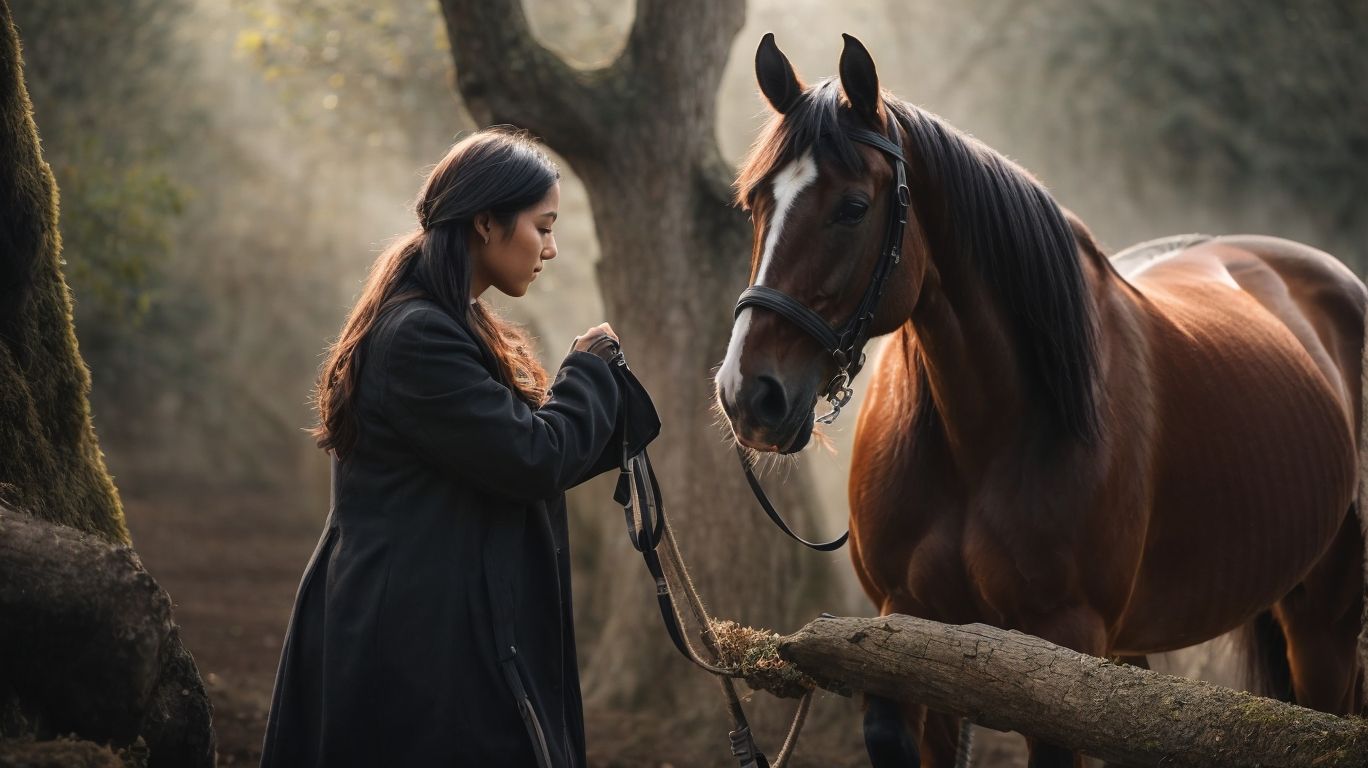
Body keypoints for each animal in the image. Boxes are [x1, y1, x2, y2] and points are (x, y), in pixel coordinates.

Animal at [715, 33, 1367, 767]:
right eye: (756, 203)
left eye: (853, 207)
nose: (749, 394)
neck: (982, 436)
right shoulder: (908, 633)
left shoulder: (1062, 648)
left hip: (1323, 625)